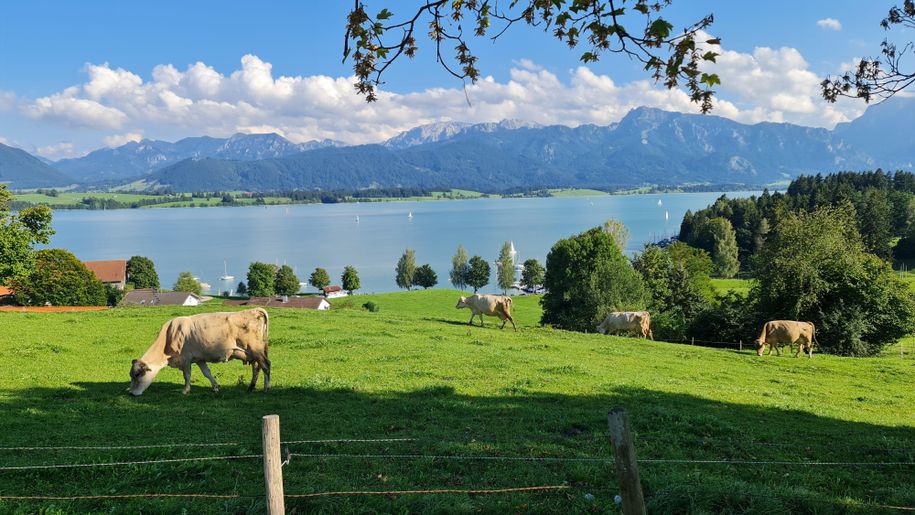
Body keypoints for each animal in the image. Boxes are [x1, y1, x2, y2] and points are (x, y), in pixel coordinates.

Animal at [130, 308, 272, 398]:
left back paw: (266, 388)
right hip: (252, 353)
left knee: (266, 366)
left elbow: (187, 375)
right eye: (131, 375)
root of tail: (254, 310)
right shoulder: (199, 359)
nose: (131, 393)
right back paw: (251, 388)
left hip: (256, 350)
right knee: (257, 367)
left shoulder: (186, 358)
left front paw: (185, 390)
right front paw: (215, 387)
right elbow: (207, 373)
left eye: (137, 375)